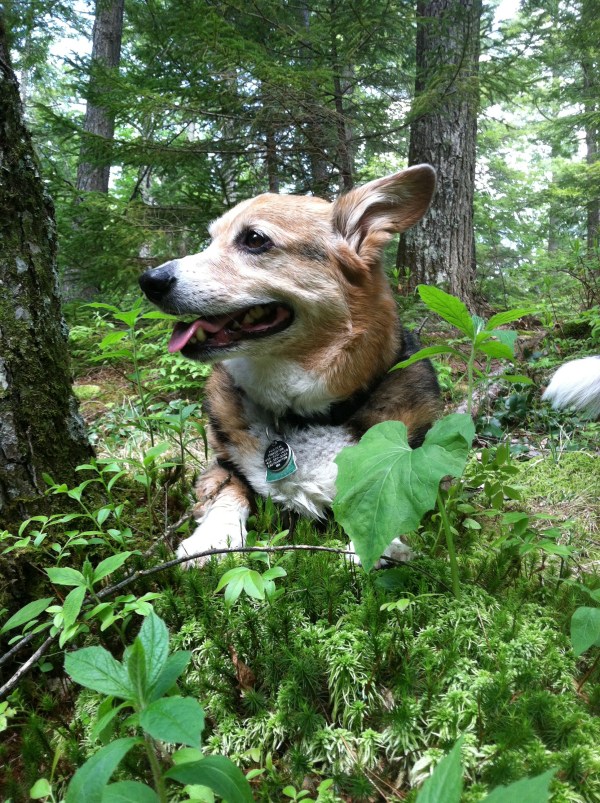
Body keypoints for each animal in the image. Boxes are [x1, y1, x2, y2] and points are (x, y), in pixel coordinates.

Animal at [139, 166, 442, 565]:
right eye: (210, 239)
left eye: (254, 239)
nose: (148, 281)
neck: (304, 414)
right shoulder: (223, 466)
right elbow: (228, 493)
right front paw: (213, 539)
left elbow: (390, 498)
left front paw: (371, 548)